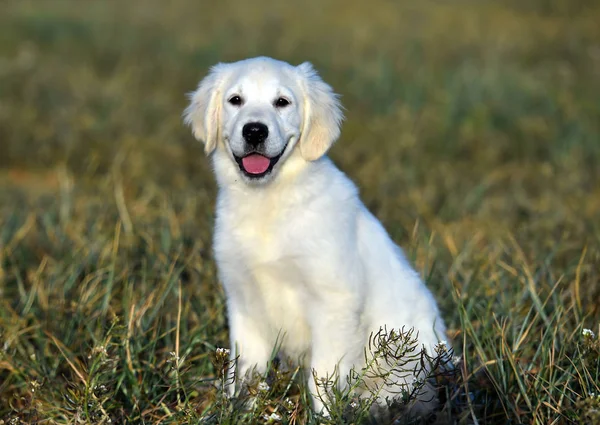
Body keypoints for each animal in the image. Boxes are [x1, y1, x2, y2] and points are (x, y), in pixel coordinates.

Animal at [185, 56, 448, 414]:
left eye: (282, 102)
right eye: (235, 100)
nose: (254, 130)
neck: (270, 201)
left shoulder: (333, 302)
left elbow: (321, 377)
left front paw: (324, 416)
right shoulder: (244, 299)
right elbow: (246, 373)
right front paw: (241, 411)